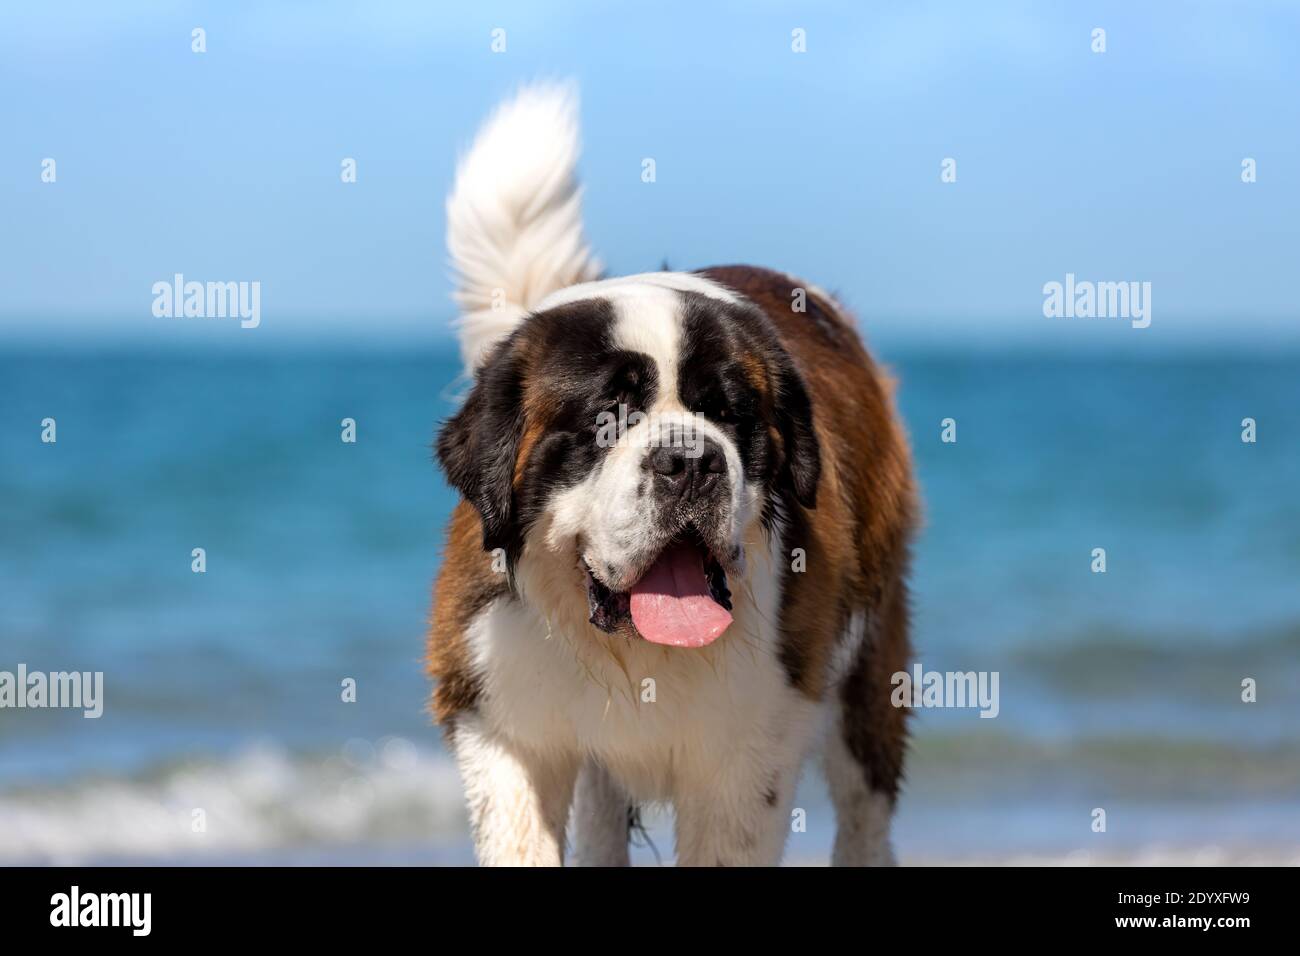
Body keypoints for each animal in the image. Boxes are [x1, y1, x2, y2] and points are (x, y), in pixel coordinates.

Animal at [426, 83, 915, 868]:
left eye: (727, 413)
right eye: (607, 418)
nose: (689, 459)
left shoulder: (748, 761)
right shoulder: (499, 721)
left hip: (869, 662)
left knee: (865, 809)